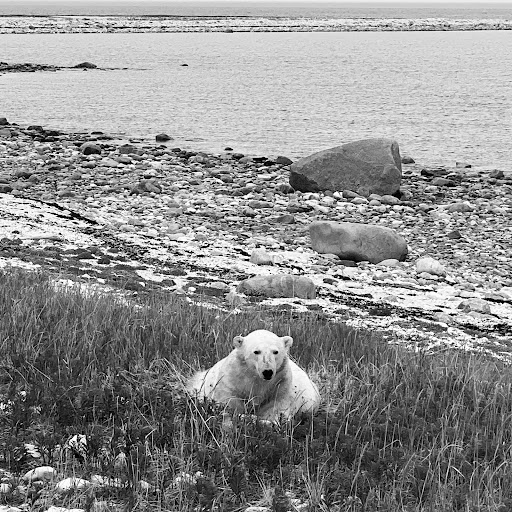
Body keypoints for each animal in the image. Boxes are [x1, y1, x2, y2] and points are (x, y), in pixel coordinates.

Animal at [187, 329, 320, 422]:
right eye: (256, 351)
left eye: (276, 351)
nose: (267, 371)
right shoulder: (231, 381)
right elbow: (229, 404)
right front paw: (239, 415)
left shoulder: (279, 386)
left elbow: (276, 410)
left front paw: (260, 420)